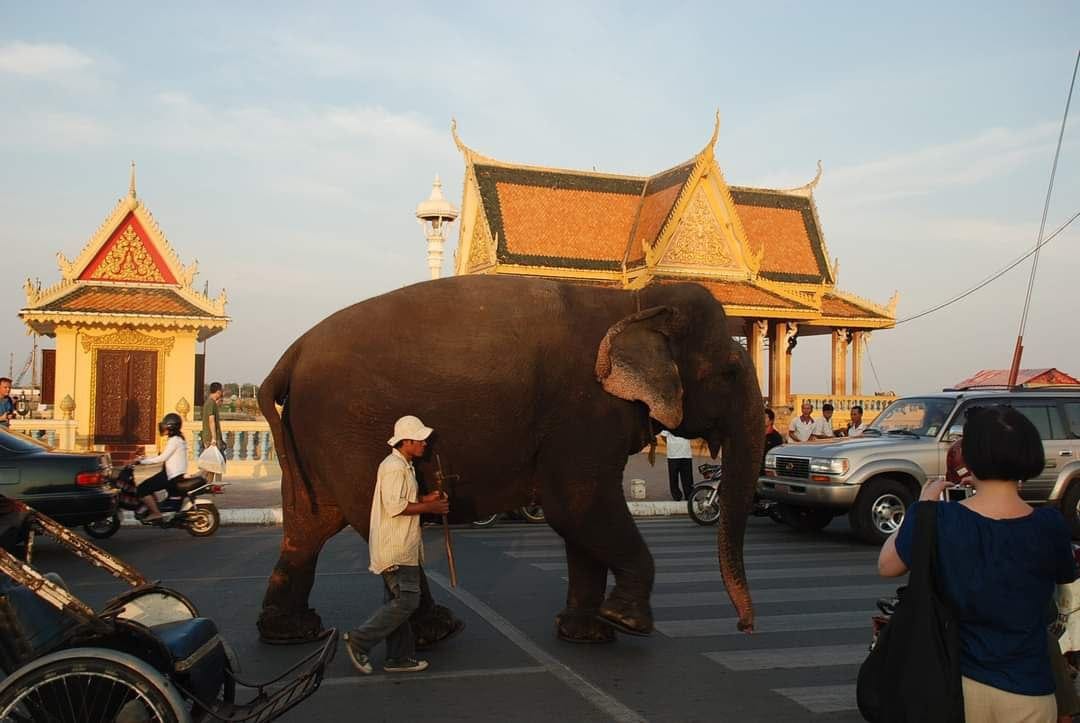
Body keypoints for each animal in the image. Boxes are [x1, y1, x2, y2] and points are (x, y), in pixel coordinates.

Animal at [256, 275, 764, 645]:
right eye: (729, 371)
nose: (745, 627)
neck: (632, 302)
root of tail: (290, 354)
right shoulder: (582, 412)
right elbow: (577, 506)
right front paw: (627, 621)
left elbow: (579, 517)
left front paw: (586, 633)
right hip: (349, 433)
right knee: (374, 521)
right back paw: (436, 630)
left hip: (313, 438)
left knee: (308, 525)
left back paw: (291, 632)